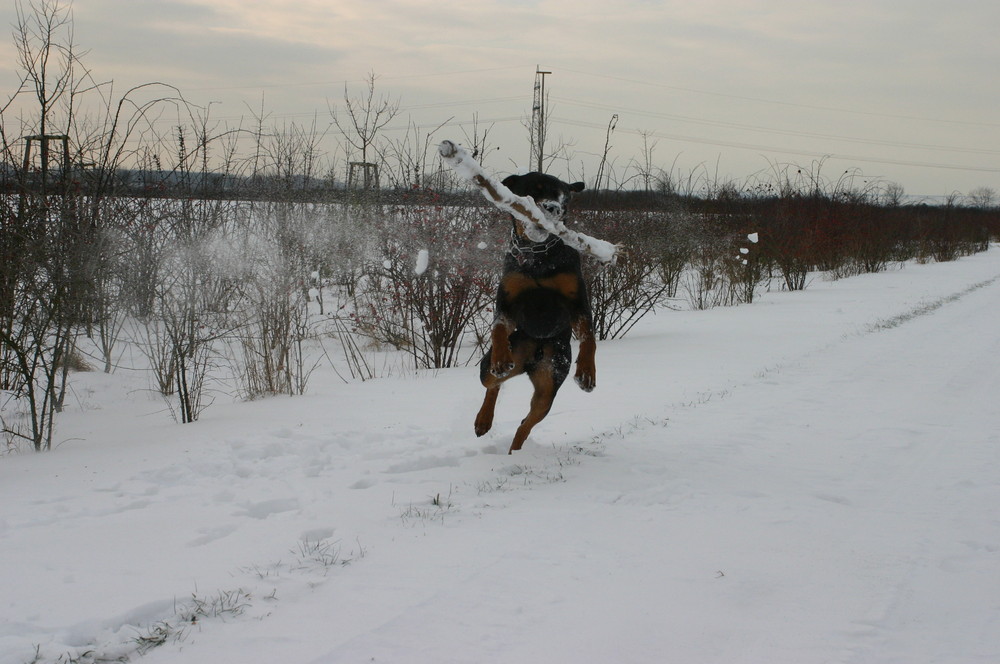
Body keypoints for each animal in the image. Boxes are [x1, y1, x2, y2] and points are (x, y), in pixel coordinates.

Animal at [474, 171, 596, 454]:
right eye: (535, 189)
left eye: (564, 196)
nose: (554, 208)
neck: (538, 255)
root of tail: (534, 355)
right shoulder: (507, 301)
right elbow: (498, 328)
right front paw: (500, 357)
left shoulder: (577, 302)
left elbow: (589, 337)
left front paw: (586, 372)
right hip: (499, 360)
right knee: (493, 384)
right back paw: (483, 420)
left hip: (551, 376)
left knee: (527, 421)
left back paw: (514, 452)